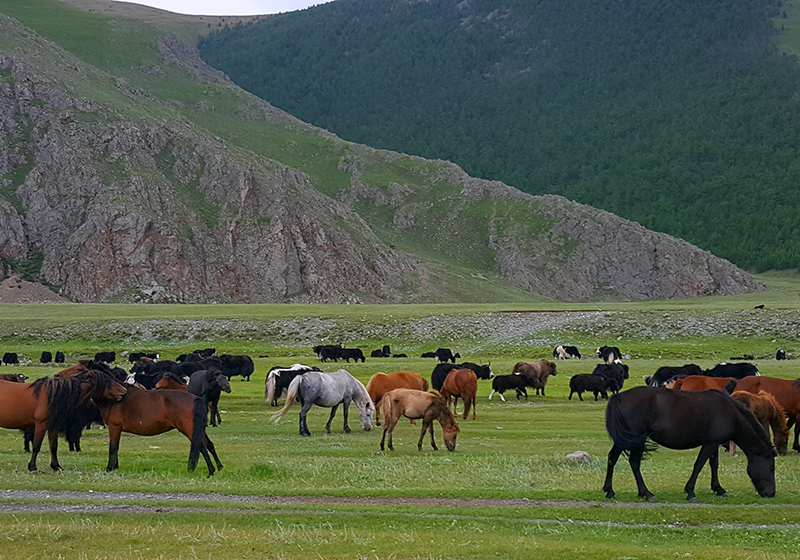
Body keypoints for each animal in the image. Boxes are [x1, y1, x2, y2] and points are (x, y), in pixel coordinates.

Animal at [92, 384, 223, 476]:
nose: (122, 392)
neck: (112, 401)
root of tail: (197, 399)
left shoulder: (114, 426)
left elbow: (113, 447)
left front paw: (110, 467)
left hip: (189, 429)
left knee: (201, 446)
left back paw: (211, 470)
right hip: (197, 429)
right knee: (209, 444)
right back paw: (219, 467)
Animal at [608, 388, 776, 500]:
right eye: (771, 468)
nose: (771, 493)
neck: (731, 413)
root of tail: (619, 396)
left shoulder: (714, 443)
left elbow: (714, 465)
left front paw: (718, 489)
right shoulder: (710, 444)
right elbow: (699, 464)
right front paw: (690, 492)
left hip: (625, 439)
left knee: (612, 458)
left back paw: (610, 491)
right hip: (637, 439)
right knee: (634, 463)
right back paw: (647, 493)